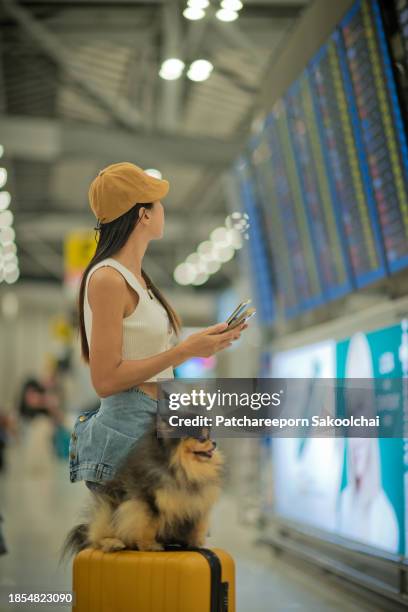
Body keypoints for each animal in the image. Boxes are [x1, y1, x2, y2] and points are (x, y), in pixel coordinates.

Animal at [62, 418, 223, 556]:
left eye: (209, 435)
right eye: (202, 438)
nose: (215, 442)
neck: (182, 469)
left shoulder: (197, 505)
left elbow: (197, 527)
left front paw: (196, 544)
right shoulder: (148, 502)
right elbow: (148, 526)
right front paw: (149, 546)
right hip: (108, 510)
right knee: (96, 538)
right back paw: (113, 543)